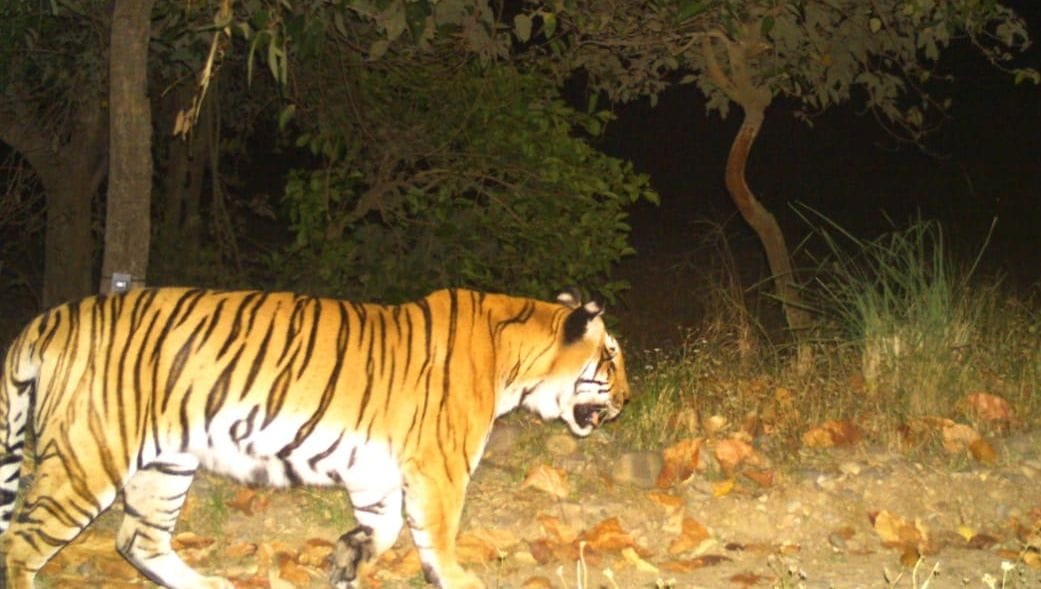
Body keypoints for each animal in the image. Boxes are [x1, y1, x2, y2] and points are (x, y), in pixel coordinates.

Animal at [0, 287, 629, 588]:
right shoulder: (440, 467)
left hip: (166, 463)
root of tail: (44, 320)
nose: (626, 400)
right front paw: (456, 578)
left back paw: (211, 584)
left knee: (137, 540)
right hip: (89, 458)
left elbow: (384, 525)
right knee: (21, 543)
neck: (516, 358)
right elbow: (438, 534)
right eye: (611, 357)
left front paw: (348, 559)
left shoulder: (376, 472)